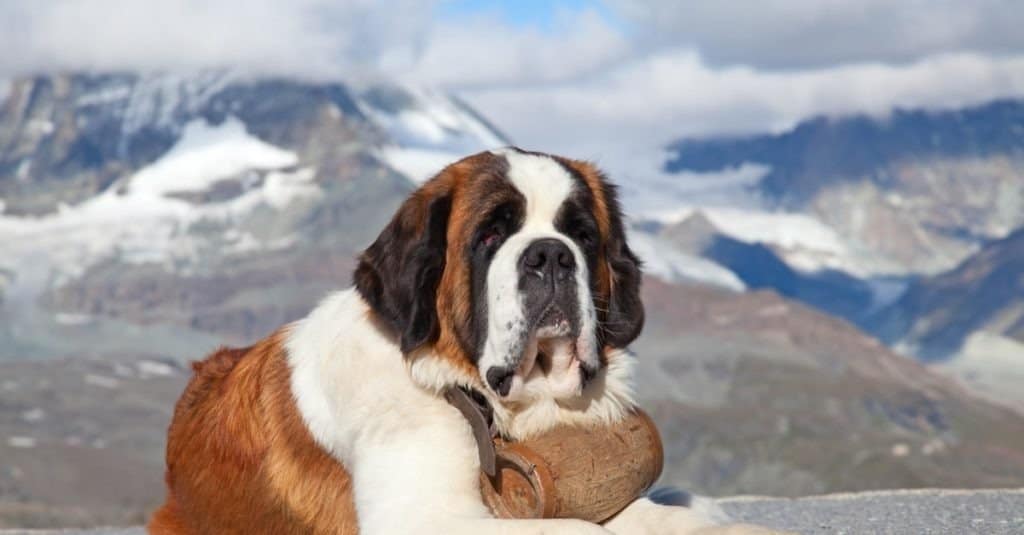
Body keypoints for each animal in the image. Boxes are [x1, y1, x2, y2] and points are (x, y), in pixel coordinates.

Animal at [149, 147, 774, 528]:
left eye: (581, 235)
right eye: (491, 234)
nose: (550, 255)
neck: (486, 402)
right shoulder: (429, 516)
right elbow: (573, 528)